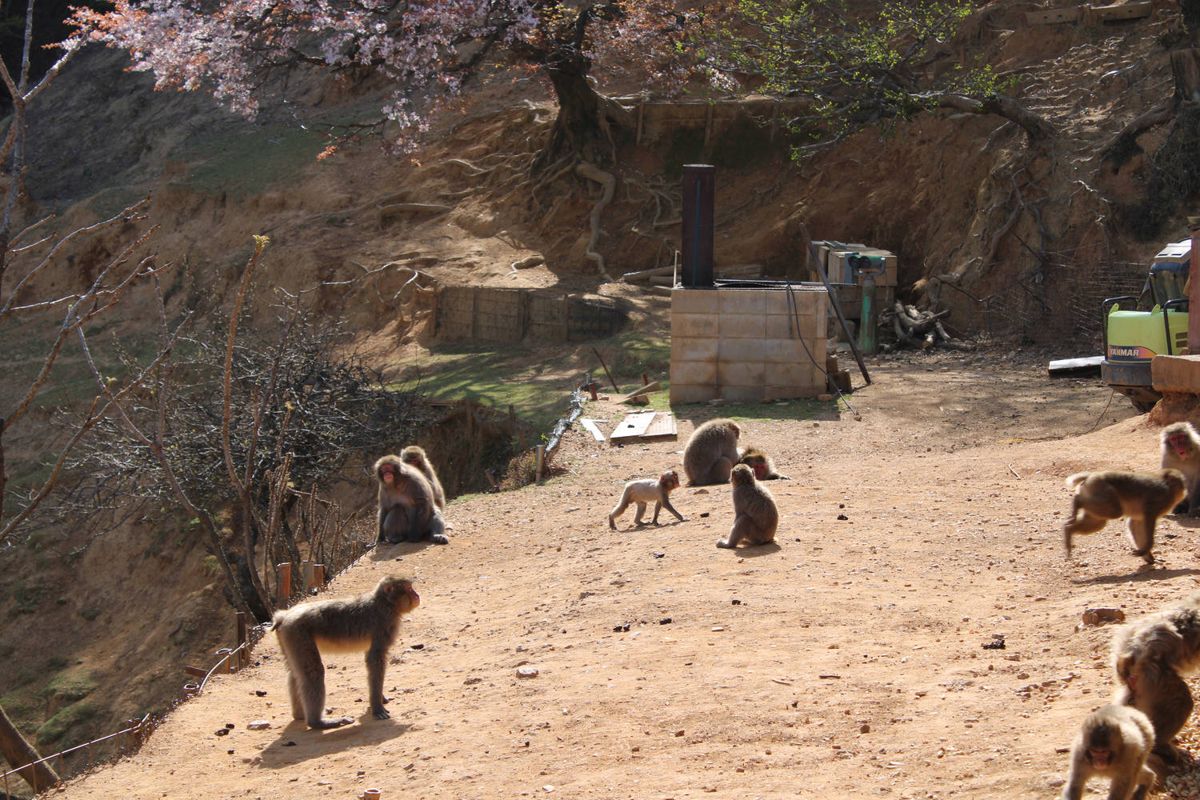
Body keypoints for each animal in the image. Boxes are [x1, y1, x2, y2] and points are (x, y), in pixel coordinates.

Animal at [273, 576, 420, 730]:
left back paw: (300, 715)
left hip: (288, 636)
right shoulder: (384, 625)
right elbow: (374, 659)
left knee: (295, 673)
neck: (386, 603)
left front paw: (381, 698)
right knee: (313, 672)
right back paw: (317, 722)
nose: (417, 595)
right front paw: (377, 707)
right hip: (298, 632)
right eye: (409, 589)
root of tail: (284, 616)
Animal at [1111, 592, 1200, 766]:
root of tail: (1127, 656)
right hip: (1153, 675)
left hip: (1138, 681)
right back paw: (1161, 745)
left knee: (1131, 701)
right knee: (1180, 702)